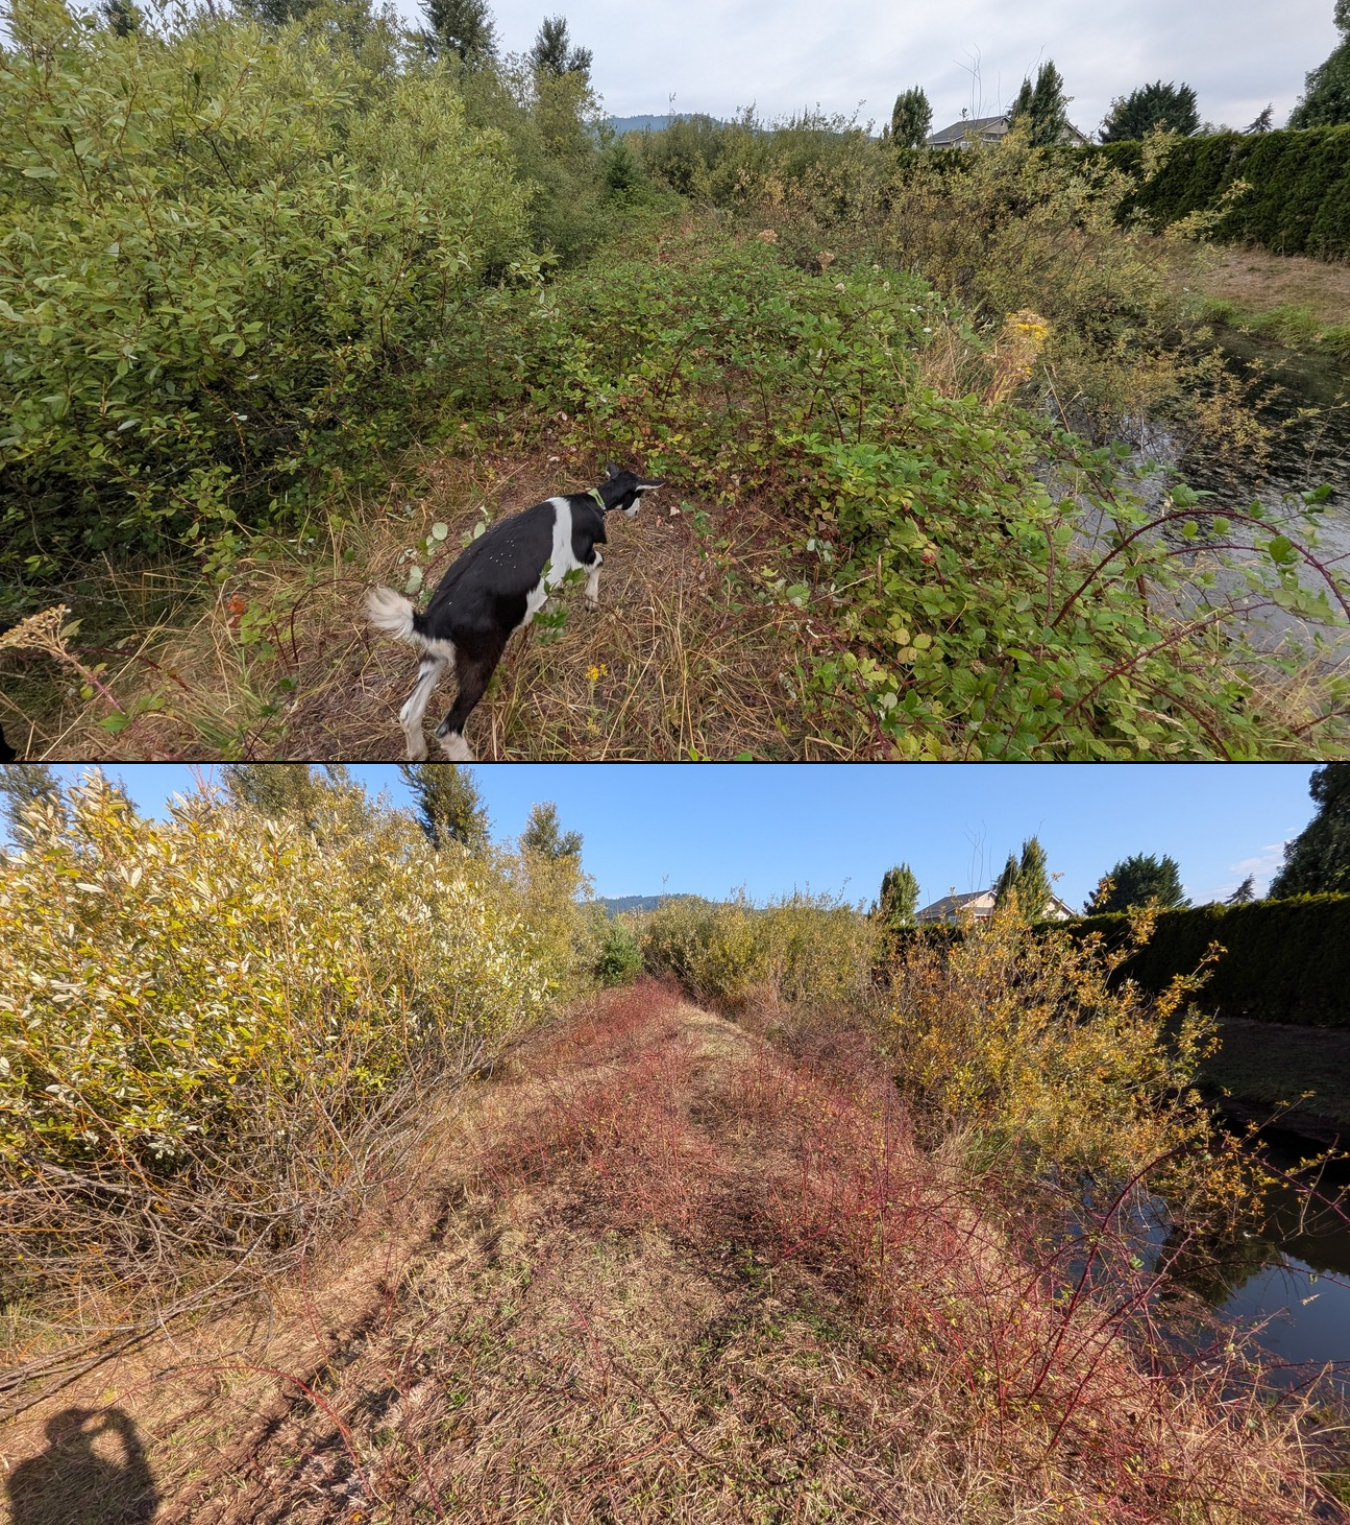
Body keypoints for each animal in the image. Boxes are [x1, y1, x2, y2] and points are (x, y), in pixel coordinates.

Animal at [367, 464, 664, 760]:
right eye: (639, 494)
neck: (588, 502)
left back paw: (417, 752)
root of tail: (428, 621)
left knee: (409, 711)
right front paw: (591, 600)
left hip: (435, 657)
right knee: (448, 729)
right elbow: (600, 561)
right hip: (479, 661)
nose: (638, 513)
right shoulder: (579, 557)